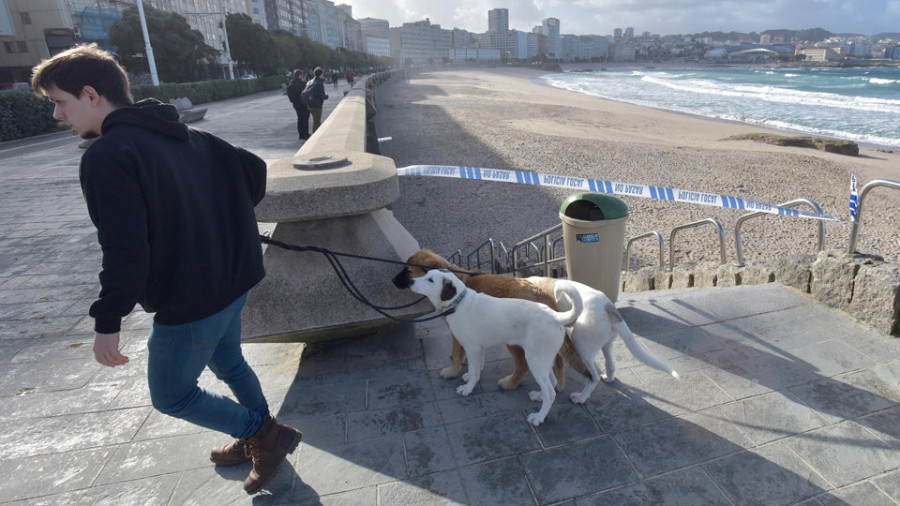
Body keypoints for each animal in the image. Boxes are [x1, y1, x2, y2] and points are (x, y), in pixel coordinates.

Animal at [392, 248, 592, 388]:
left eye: (408, 271)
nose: (393, 281)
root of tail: (541, 293)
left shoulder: (456, 333)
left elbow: (457, 353)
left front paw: (453, 371)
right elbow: (473, 355)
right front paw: (471, 370)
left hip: (514, 343)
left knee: (523, 364)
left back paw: (510, 383)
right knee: (557, 360)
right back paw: (558, 384)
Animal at [410, 270, 584, 424]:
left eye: (430, 280)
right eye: (426, 274)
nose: (410, 281)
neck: (458, 303)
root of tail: (555, 316)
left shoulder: (472, 347)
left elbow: (473, 371)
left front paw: (468, 388)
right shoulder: (478, 347)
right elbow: (476, 367)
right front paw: (470, 377)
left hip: (535, 359)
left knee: (550, 393)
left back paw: (539, 417)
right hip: (542, 359)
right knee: (552, 382)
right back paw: (539, 396)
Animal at [524, 276, 680, 404]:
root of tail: (610, 309)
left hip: (581, 346)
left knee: (593, 377)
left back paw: (580, 398)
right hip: (606, 344)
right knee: (610, 365)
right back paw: (608, 378)